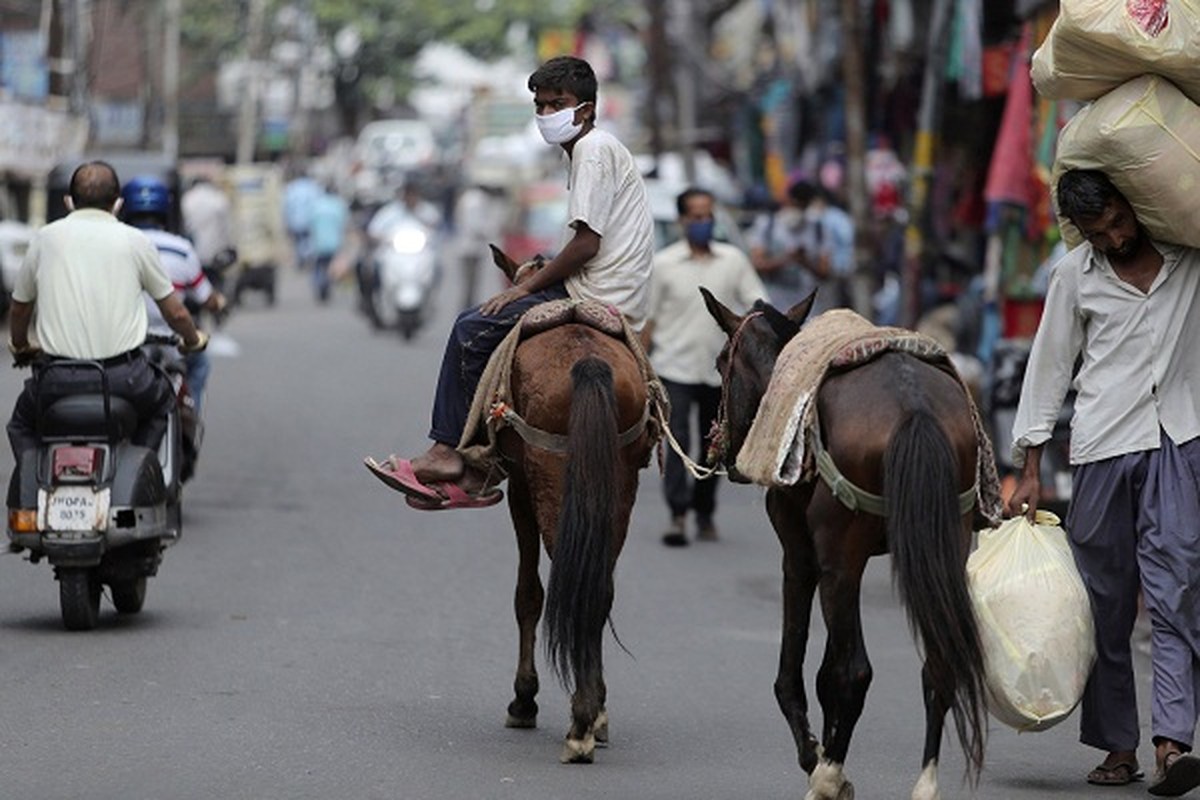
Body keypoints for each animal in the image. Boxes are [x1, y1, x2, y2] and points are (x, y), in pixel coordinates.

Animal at [487, 245, 657, 762]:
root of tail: (589, 362)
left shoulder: (520, 490)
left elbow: (528, 595)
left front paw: (523, 701)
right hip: (617, 484)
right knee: (597, 588)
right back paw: (592, 715)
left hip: (549, 479)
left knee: (566, 582)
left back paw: (578, 723)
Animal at [700, 289, 988, 800]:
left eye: (719, 363)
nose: (725, 451)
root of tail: (913, 404)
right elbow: (823, 673)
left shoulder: (802, 558)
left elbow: (797, 671)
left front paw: (815, 756)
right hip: (947, 543)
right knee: (939, 662)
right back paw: (924, 782)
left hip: (841, 559)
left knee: (854, 671)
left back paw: (827, 776)